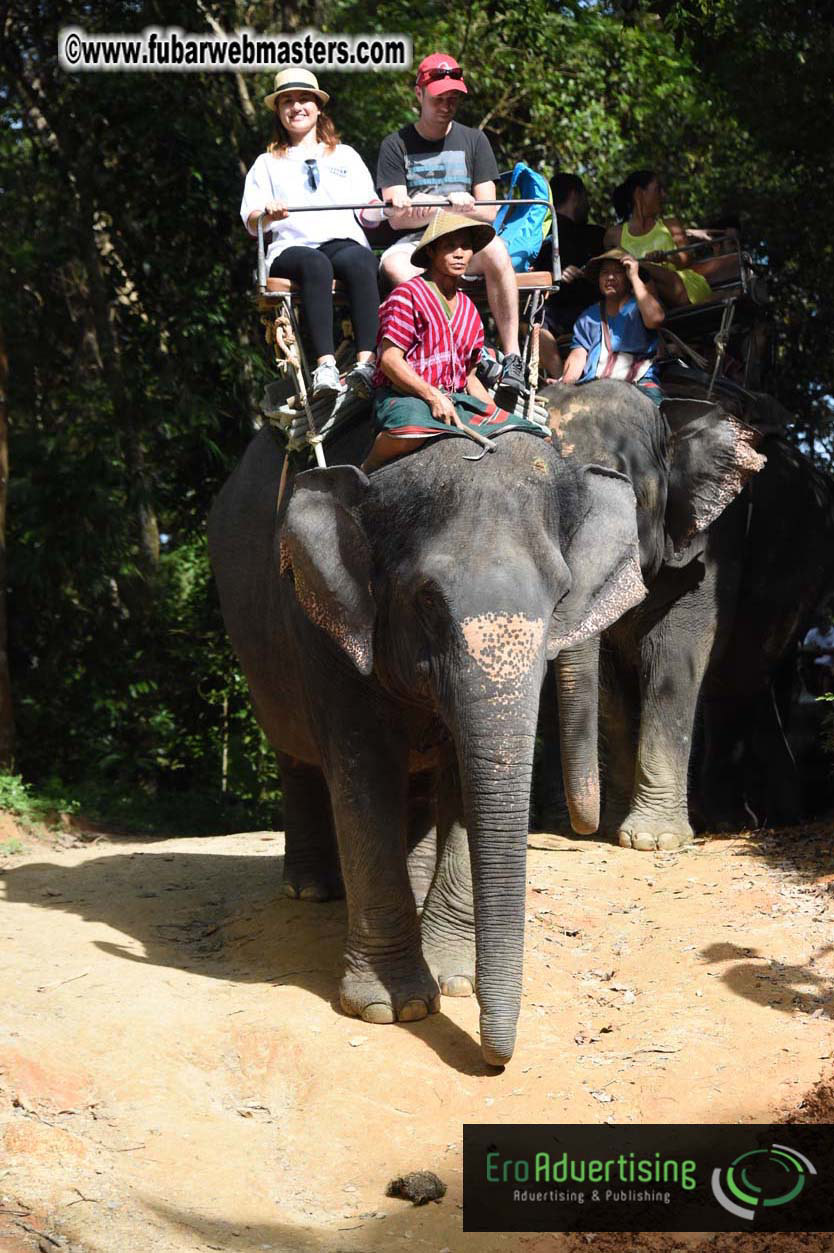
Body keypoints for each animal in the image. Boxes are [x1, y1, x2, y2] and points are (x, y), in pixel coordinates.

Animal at [208, 420, 647, 1066]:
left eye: (560, 595)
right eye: (427, 600)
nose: (496, 1062)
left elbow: (462, 777)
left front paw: (453, 980)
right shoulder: (325, 626)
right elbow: (363, 770)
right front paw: (393, 1008)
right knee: (296, 756)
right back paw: (309, 890)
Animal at [540, 378, 770, 851]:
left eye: (632, 499)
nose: (578, 831)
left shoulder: (710, 546)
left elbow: (674, 656)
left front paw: (654, 840)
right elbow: (609, 682)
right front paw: (612, 829)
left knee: (742, 682)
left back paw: (731, 823)